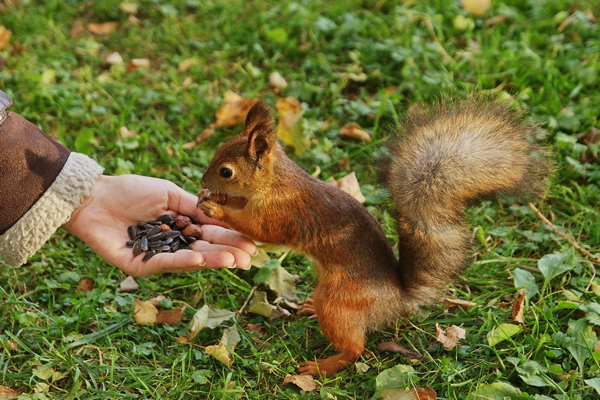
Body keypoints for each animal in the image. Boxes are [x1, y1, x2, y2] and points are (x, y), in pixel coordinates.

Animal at [198, 97, 552, 376]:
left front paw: (215, 209)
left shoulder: (281, 215)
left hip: (339, 301)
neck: (275, 184)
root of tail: (397, 300)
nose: (202, 182)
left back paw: (322, 366)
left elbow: (258, 230)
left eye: (226, 171)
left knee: (356, 348)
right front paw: (215, 199)